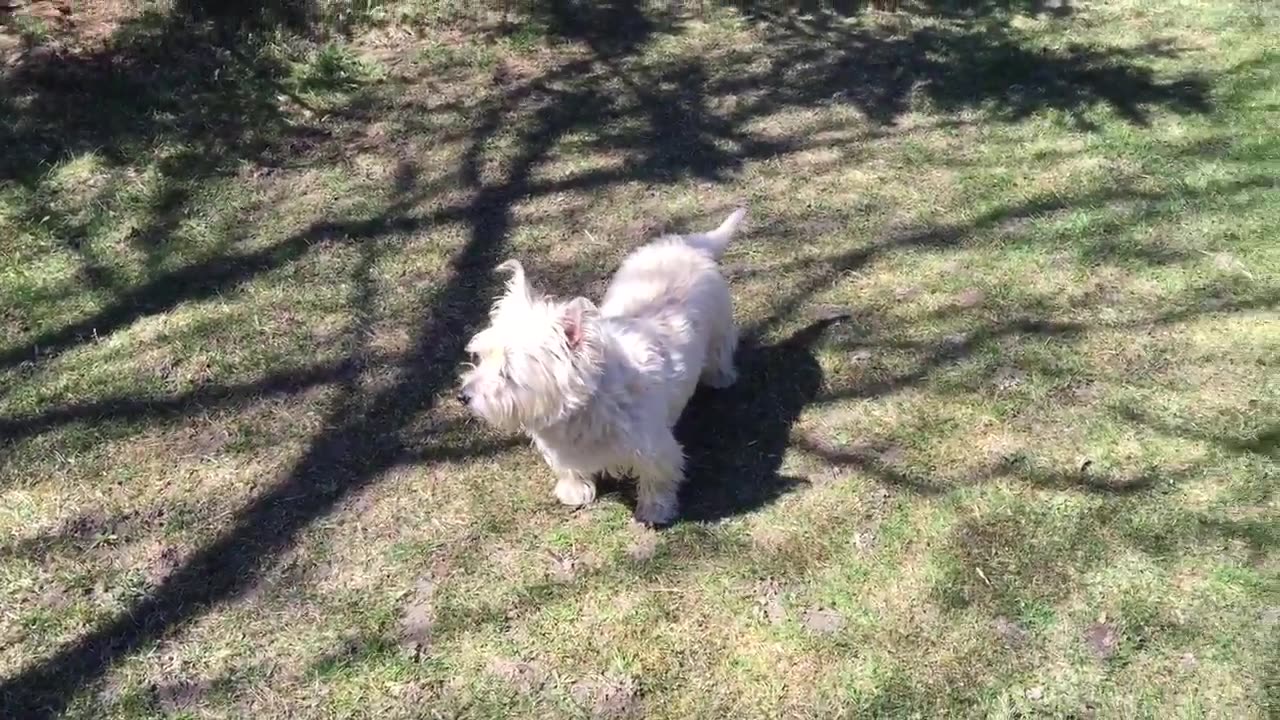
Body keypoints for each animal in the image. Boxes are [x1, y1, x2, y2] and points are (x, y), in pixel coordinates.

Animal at [458, 206, 747, 520]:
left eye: (507, 372)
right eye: (480, 357)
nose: (463, 396)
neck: (583, 407)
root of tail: (688, 245)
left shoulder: (653, 446)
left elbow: (657, 478)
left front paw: (656, 510)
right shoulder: (561, 450)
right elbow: (568, 469)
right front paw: (574, 491)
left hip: (718, 325)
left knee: (720, 349)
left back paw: (721, 377)